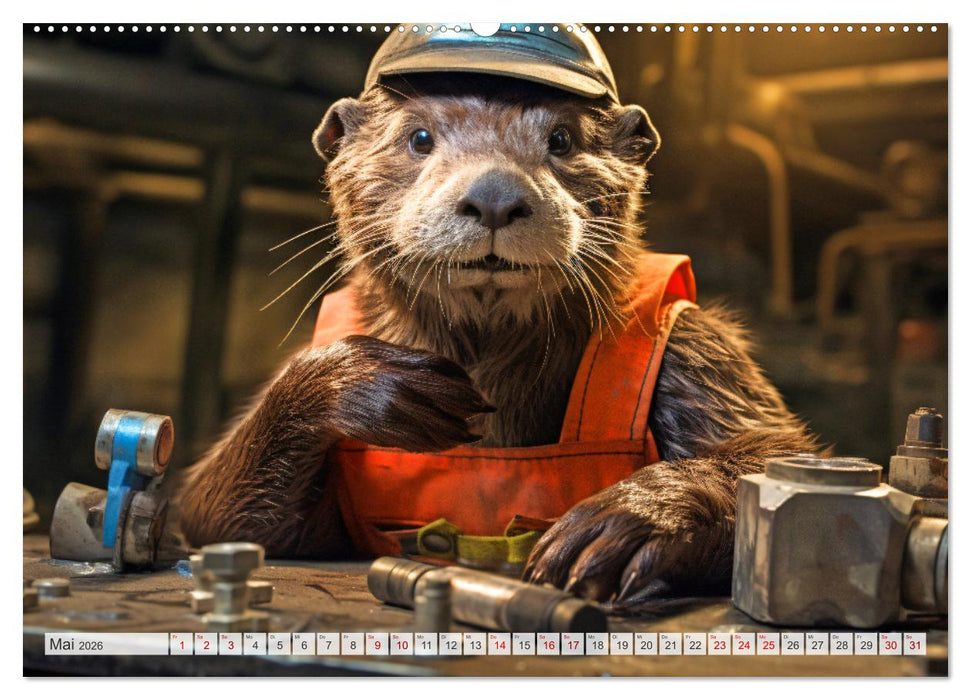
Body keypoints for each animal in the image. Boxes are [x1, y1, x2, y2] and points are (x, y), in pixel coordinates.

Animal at [178, 64, 815, 606]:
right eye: (419, 137)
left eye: (561, 138)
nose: (494, 195)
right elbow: (214, 513)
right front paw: (385, 386)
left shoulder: (696, 346)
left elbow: (780, 452)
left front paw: (628, 519)